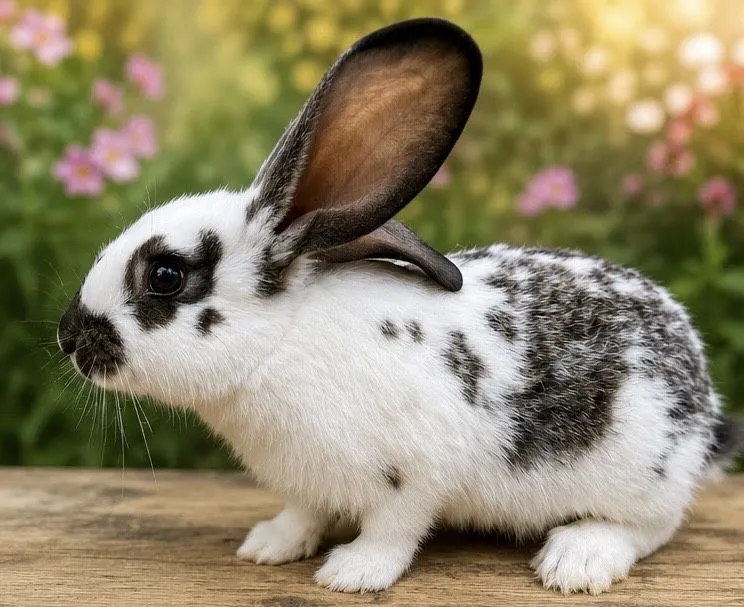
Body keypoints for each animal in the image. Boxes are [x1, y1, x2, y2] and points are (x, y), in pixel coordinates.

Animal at [57, 17, 744, 595]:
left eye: (166, 276)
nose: (68, 336)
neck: (280, 342)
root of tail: (706, 407)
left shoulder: (412, 476)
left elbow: (394, 528)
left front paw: (352, 574)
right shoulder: (309, 481)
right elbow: (303, 512)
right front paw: (269, 546)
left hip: (642, 471)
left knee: (650, 528)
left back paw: (575, 560)